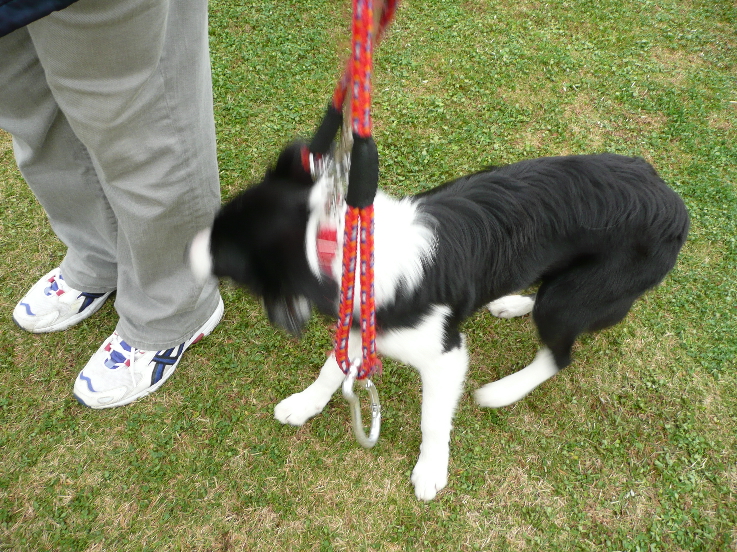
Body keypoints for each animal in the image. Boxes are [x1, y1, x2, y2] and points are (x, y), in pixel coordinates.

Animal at [188, 142, 689, 500]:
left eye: (224, 254)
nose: (184, 250)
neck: (352, 254)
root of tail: (674, 202)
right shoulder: (364, 327)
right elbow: (332, 369)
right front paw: (304, 403)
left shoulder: (444, 355)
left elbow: (432, 418)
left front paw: (431, 470)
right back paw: (512, 303)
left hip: (570, 299)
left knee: (558, 353)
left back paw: (501, 391)